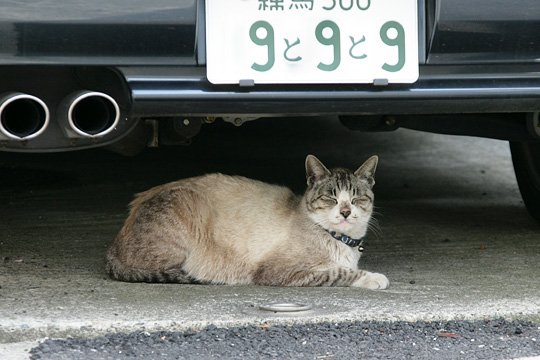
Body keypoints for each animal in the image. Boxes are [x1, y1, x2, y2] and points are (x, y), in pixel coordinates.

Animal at [106, 155, 388, 290]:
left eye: (356, 198)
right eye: (331, 197)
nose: (345, 212)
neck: (343, 241)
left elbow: (342, 270)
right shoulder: (283, 271)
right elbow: (340, 273)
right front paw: (375, 278)